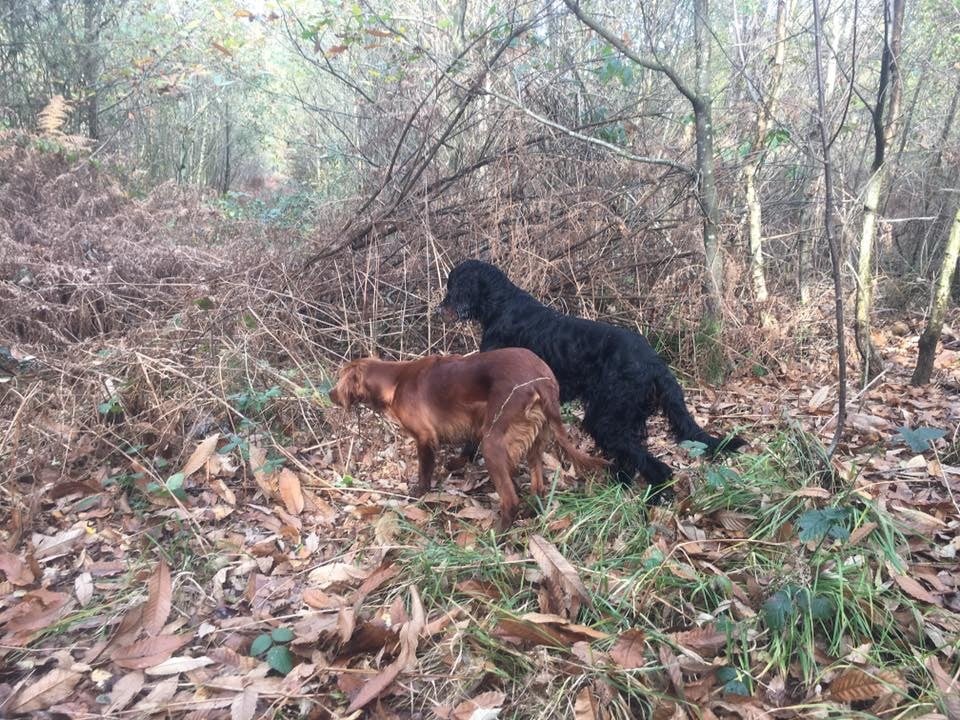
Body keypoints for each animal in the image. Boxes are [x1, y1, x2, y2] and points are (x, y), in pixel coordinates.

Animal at [326, 348, 604, 528]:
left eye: (340, 378)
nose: (329, 394)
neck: (394, 381)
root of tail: (542, 379)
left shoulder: (425, 438)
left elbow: (424, 472)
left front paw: (419, 493)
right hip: (535, 437)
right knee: (537, 484)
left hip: (493, 441)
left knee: (510, 500)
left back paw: (497, 534)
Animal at [438, 260, 748, 500]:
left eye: (452, 285)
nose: (440, 308)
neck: (500, 305)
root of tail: (655, 363)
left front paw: (461, 461)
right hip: (622, 417)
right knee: (631, 457)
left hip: (606, 416)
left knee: (654, 465)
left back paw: (651, 500)